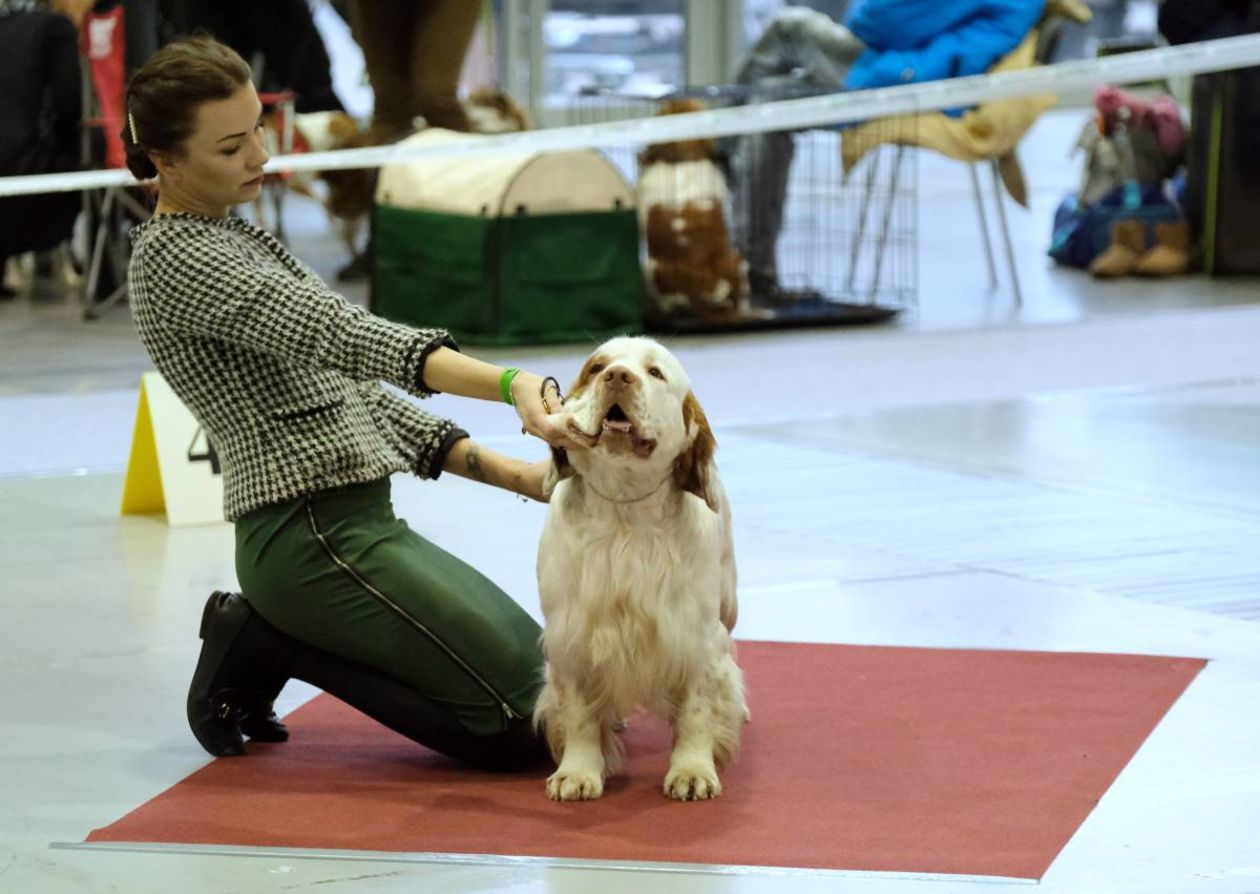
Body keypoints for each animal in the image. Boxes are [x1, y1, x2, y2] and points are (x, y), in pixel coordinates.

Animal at [534, 337, 745, 805]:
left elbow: (699, 708)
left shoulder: (697, 635)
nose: (618, 376)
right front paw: (577, 772)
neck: (624, 511)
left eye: (655, 373)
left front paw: (692, 771)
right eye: (596, 368)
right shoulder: (572, 633)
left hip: (729, 603)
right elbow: (578, 712)